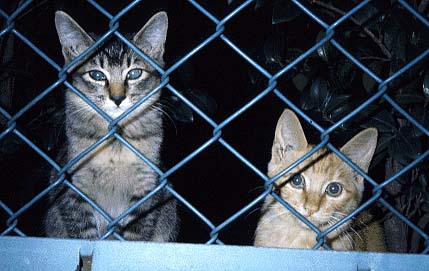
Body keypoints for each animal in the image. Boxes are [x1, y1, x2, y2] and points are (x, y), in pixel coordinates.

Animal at [43, 11, 177, 242]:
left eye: (134, 73)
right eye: (97, 75)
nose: (117, 98)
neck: (116, 141)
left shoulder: (147, 186)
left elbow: (136, 235)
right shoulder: (73, 189)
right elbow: (83, 236)